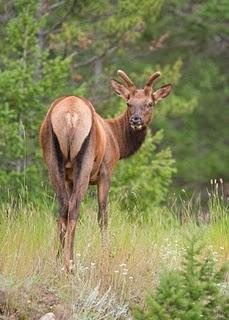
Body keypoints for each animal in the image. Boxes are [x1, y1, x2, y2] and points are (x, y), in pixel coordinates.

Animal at [39, 69, 172, 270]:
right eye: (129, 103)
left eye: (149, 103)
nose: (136, 120)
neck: (117, 141)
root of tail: (70, 115)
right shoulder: (106, 171)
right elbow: (103, 215)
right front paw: (107, 255)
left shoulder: (69, 178)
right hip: (85, 163)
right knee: (75, 207)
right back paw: (70, 264)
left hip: (52, 161)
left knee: (63, 207)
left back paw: (58, 261)